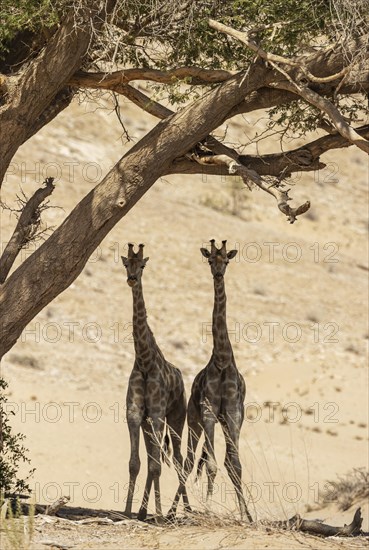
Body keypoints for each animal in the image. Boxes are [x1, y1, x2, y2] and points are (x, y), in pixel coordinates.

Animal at [167, 239, 252, 524]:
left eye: (226, 260)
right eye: (209, 259)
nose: (218, 273)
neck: (223, 360)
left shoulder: (234, 413)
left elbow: (234, 465)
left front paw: (247, 516)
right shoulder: (207, 410)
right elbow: (211, 465)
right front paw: (207, 507)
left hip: (222, 421)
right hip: (194, 419)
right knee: (189, 460)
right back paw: (175, 511)